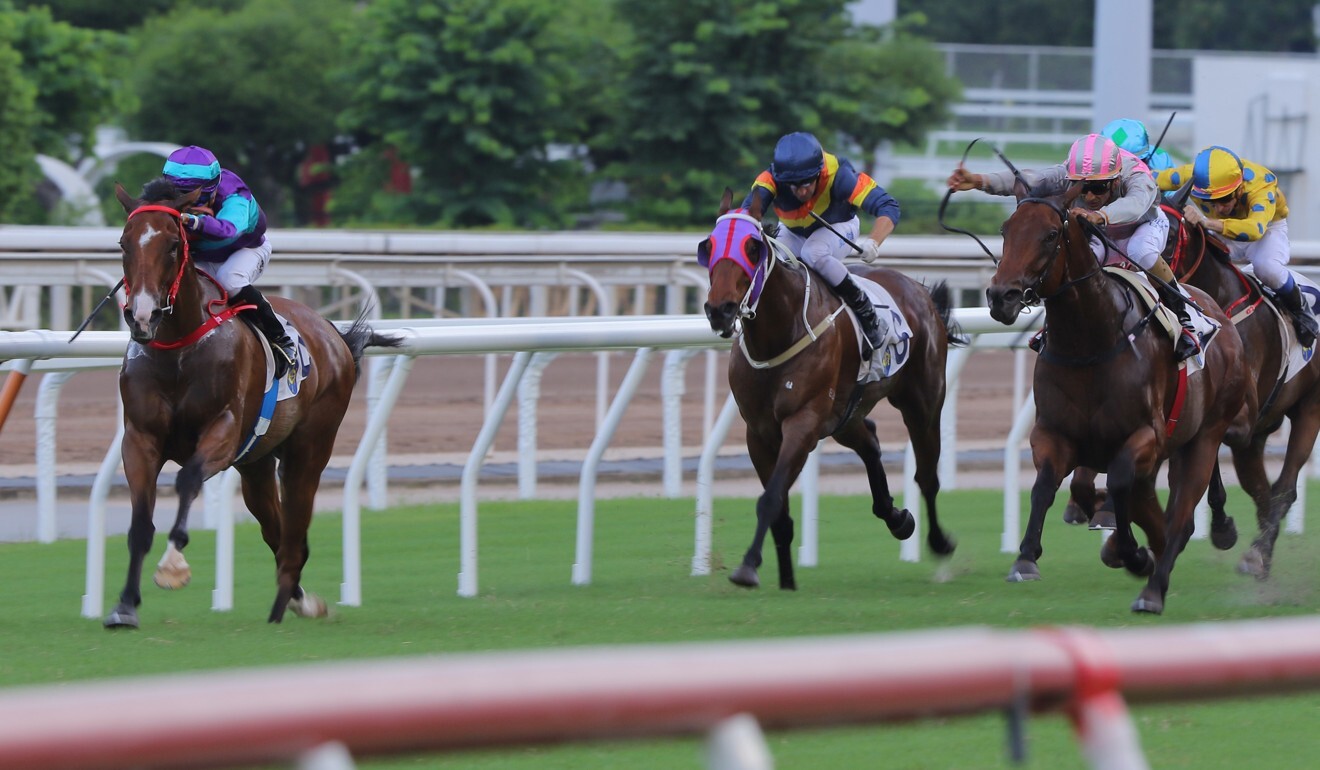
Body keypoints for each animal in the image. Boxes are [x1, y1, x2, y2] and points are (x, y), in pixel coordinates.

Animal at [107, 182, 398, 633]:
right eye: (123, 243)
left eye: (173, 244)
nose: (142, 315)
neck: (179, 348)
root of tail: (333, 335)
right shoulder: (140, 439)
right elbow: (140, 523)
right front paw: (124, 605)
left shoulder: (224, 431)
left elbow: (188, 479)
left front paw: (173, 566)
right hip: (256, 465)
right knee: (277, 533)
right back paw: (298, 600)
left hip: (308, 450)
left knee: (294, 535)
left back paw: (285, 606)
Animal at [696, 191, 966, 591]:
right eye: (708, 246)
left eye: (752, 247)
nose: (720, 309)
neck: (780, 331)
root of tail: (919, 289)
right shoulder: (758, 432)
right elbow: (778, 509)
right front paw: (786, 580)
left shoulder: (803, 422)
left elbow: (771, 497)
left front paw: (747, 566)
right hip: (844, 414)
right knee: (870, 442)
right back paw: (896, 516)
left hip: (923, 403)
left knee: (927, 476)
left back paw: (939, 542)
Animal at [987, 180, 1251, 615]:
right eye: (1006, 230)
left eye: (1051, 235)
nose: (1001, 297)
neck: (1089, 342)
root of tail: (1223, 320)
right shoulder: (1053, 433)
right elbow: (1048, 485)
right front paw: (1026, 557)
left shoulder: (1145, 436)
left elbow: (1120, 481)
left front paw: (1132, 553)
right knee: (1157, 510)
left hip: (1206, 434)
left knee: (1181, 513)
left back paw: (1153, 590)